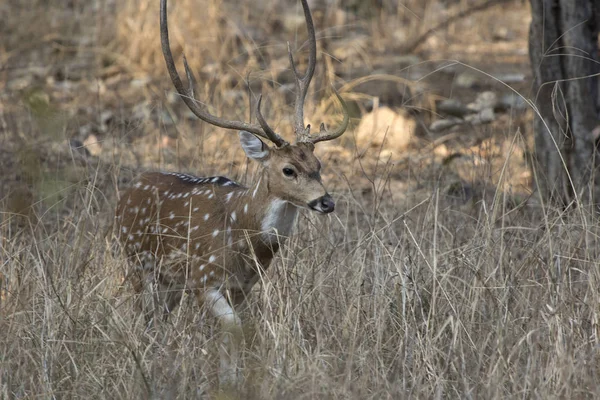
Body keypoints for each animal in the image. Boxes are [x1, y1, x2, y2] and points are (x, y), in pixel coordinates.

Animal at [115, 0, 350, 386]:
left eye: (318, 163)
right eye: (288, 169)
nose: (326, 202)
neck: (244, 236)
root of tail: (129, 190)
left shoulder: (243, 286)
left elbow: (235, 333)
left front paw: (232, 379)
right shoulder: (202, 278)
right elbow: (237, 329)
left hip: (168, 282)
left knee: (157, 321)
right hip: (136, 260)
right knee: (141, 316)